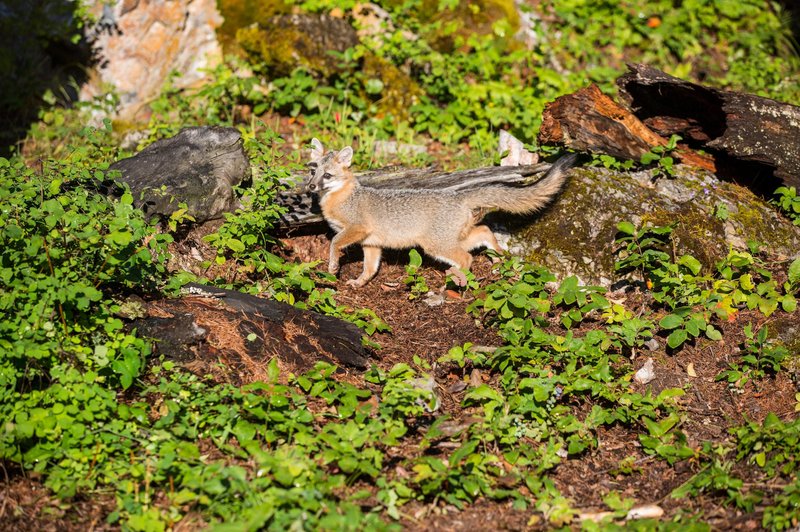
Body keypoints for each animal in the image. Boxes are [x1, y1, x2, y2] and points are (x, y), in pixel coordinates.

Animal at [304, 137, 576, 286]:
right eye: (312, 171)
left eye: (327, 176)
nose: (310, 186)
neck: (339, 197)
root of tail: (456, 195)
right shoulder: (371, 244)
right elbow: (370, 269)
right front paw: (359, 283)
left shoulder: (357, 228)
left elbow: (334, 243)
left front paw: (333, 266)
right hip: (452, 239)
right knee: (484, 231)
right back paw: (498, 259)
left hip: (434, 246)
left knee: (467, 258)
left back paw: (457, 280)